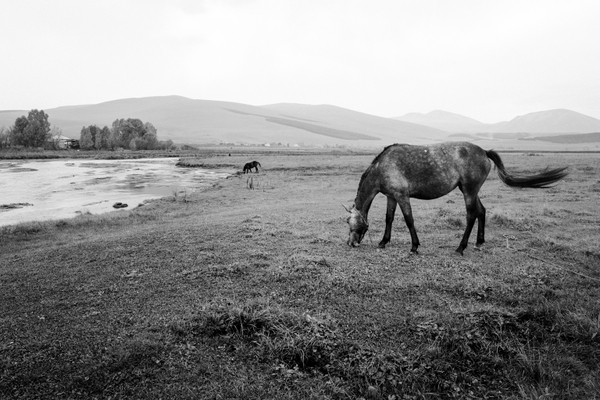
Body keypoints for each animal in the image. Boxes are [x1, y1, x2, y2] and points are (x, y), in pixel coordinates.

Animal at [344, 142, 568, 255]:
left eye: (349, 222)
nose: (351, 243)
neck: (382, 166)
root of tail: (484, 151)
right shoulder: (392, 196)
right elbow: (389, 218)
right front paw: (383, 242)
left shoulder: (402, 196)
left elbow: (409, 220)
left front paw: (414, 246)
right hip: (471, 191)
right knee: (482, 211)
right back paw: (478, 243)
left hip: (468, 191)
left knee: (471, 215)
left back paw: (461, 248)